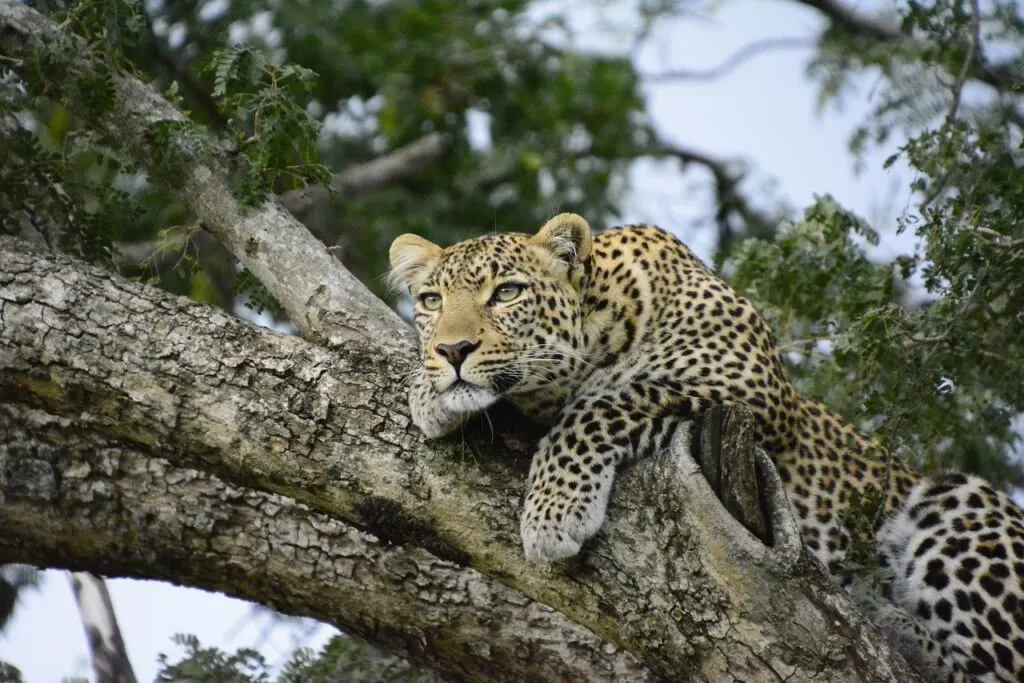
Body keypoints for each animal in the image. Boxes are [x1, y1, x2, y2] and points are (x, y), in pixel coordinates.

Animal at [387, 211, 1024, 679]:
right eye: (430, 302)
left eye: (508, 293)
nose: (452, 350)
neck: (605, 315)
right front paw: (427, 389)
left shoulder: (746, 389)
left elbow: (604, 404)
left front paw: (553, 511)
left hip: (958, 502)